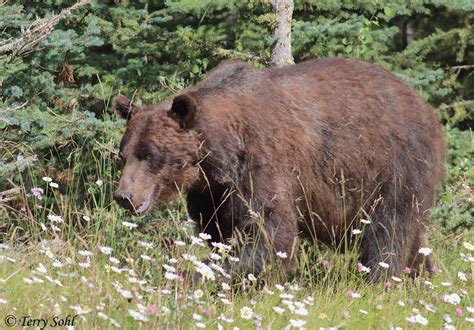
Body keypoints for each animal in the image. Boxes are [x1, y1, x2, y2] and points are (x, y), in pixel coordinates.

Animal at [114, 58, 444, 280]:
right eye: (123, 154)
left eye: (150, 154)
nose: (124, 195)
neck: (220, 154)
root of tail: (425, 106)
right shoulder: (213, 192)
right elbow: (219, 231)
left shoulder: (263, 163)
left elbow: (269, 231)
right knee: (413, 237)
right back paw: (421, 276)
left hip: (392, 165)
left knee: (390, 229)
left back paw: (379, 278)